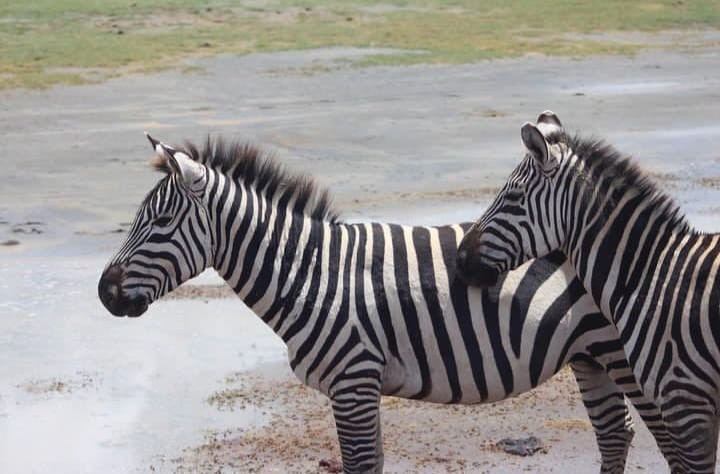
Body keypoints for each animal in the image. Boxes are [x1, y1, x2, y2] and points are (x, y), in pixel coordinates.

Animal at [97, 134, 678, 473]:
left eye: (160, 222)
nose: (104, 293)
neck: (311, 275)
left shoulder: (353, 382)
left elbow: (359, 464)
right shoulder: (362, 386)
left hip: (624, 354)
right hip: (589, 354)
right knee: (615, 435)